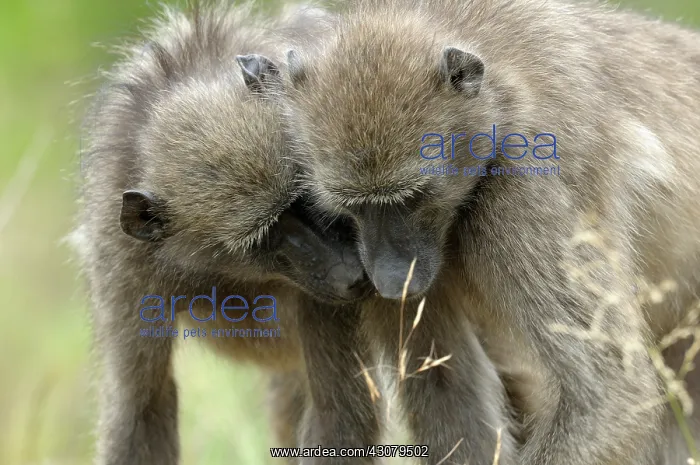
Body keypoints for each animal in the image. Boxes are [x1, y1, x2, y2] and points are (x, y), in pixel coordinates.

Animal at [71, 2, 381, 464]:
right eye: (264, 236)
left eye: (306, 196)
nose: (354, 276)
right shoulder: (124, 262)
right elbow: (141, 405)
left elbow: (341, 409)